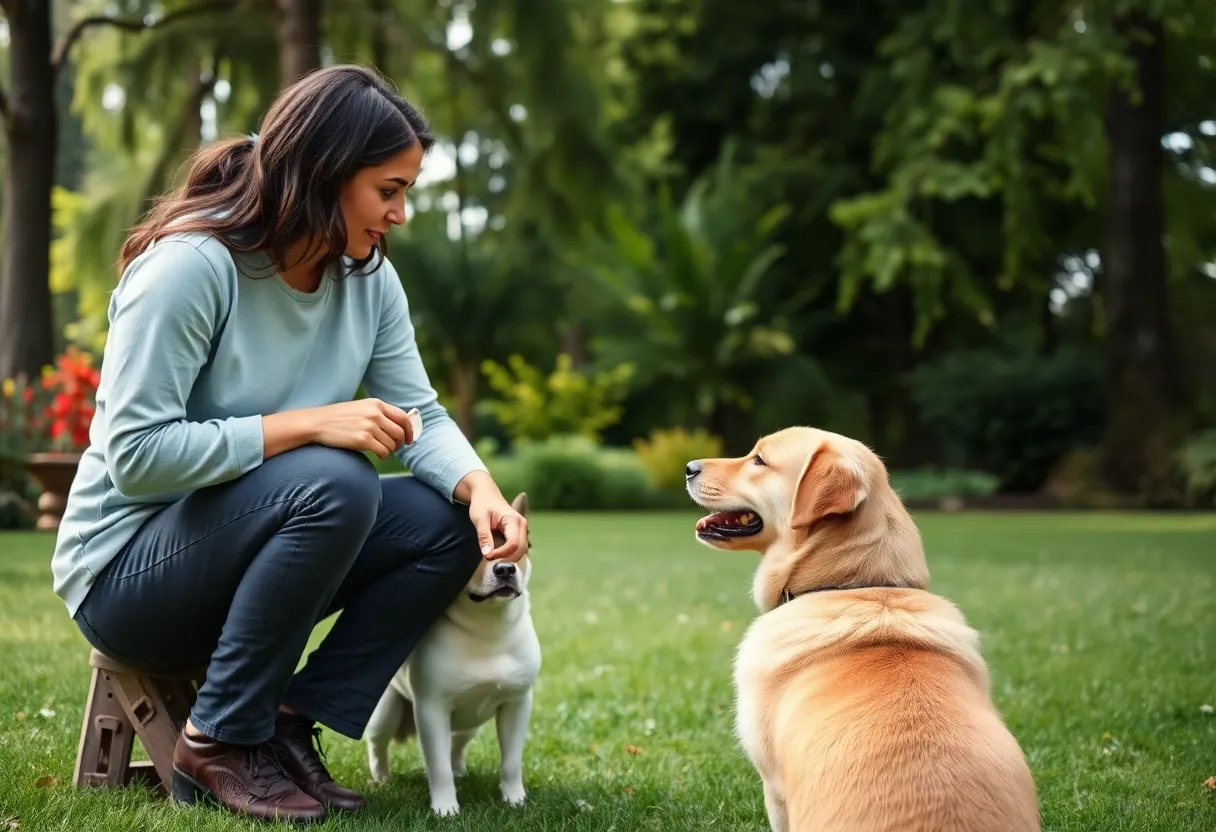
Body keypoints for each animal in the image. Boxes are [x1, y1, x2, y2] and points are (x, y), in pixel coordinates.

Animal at [362, 491, 539, 817]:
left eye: (517, 548)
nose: (505, 569)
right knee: (378, 743)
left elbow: (511, 761)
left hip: (471, 721)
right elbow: (438, 767)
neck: (488, 630)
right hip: (386, 711)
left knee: (457, 743)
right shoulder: (432, 710)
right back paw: (381, 779)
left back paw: (459, 769)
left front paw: (514, 798)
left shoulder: (516, 704)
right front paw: (445, 807)